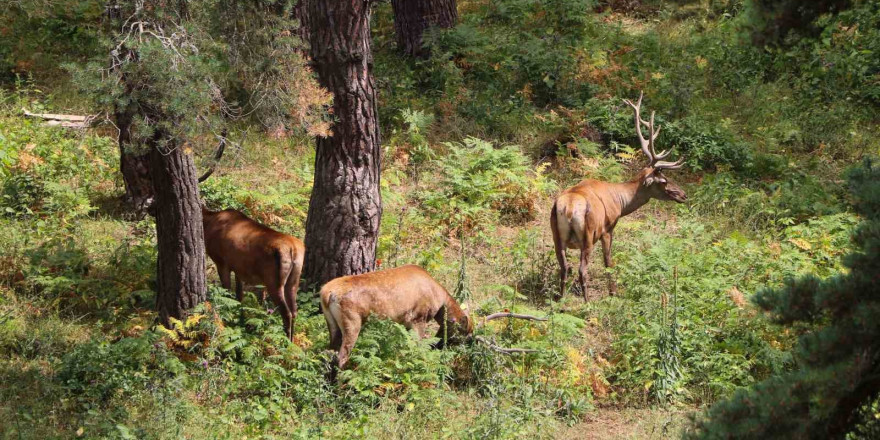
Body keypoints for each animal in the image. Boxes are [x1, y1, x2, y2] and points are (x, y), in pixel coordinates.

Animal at [322, 262, 544, 370]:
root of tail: (326, 294)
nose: (440, 346)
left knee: (329, 352)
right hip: (352, 321)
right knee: (341, 356)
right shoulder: (417, 319)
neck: (439, 300)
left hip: (332, 324)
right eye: (463, 335)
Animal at [552, 91, 688, 300]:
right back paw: (587, 302)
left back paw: (561, 299)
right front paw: (614, 292)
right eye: (663, 180)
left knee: (565, 267)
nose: (683, 195)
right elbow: (609, 261)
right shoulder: (608, 227)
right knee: (582, 269)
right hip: (588, 234)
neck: (620, 202)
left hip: (556, 235)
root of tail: (568, 208)